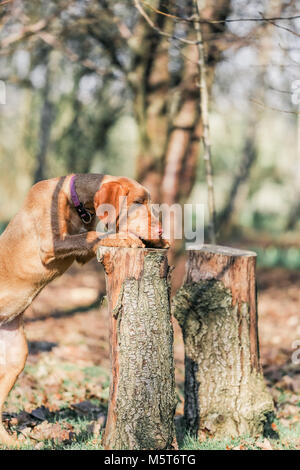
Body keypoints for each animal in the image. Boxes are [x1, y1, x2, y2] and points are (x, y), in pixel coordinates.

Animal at [0, 173, 166, 448]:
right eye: (138, 202)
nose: (161, 230)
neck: (76, 204)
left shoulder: (81, 256)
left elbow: (93, 237)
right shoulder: (52, 244)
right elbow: (92, 236)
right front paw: (127, 237)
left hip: (15, 356)